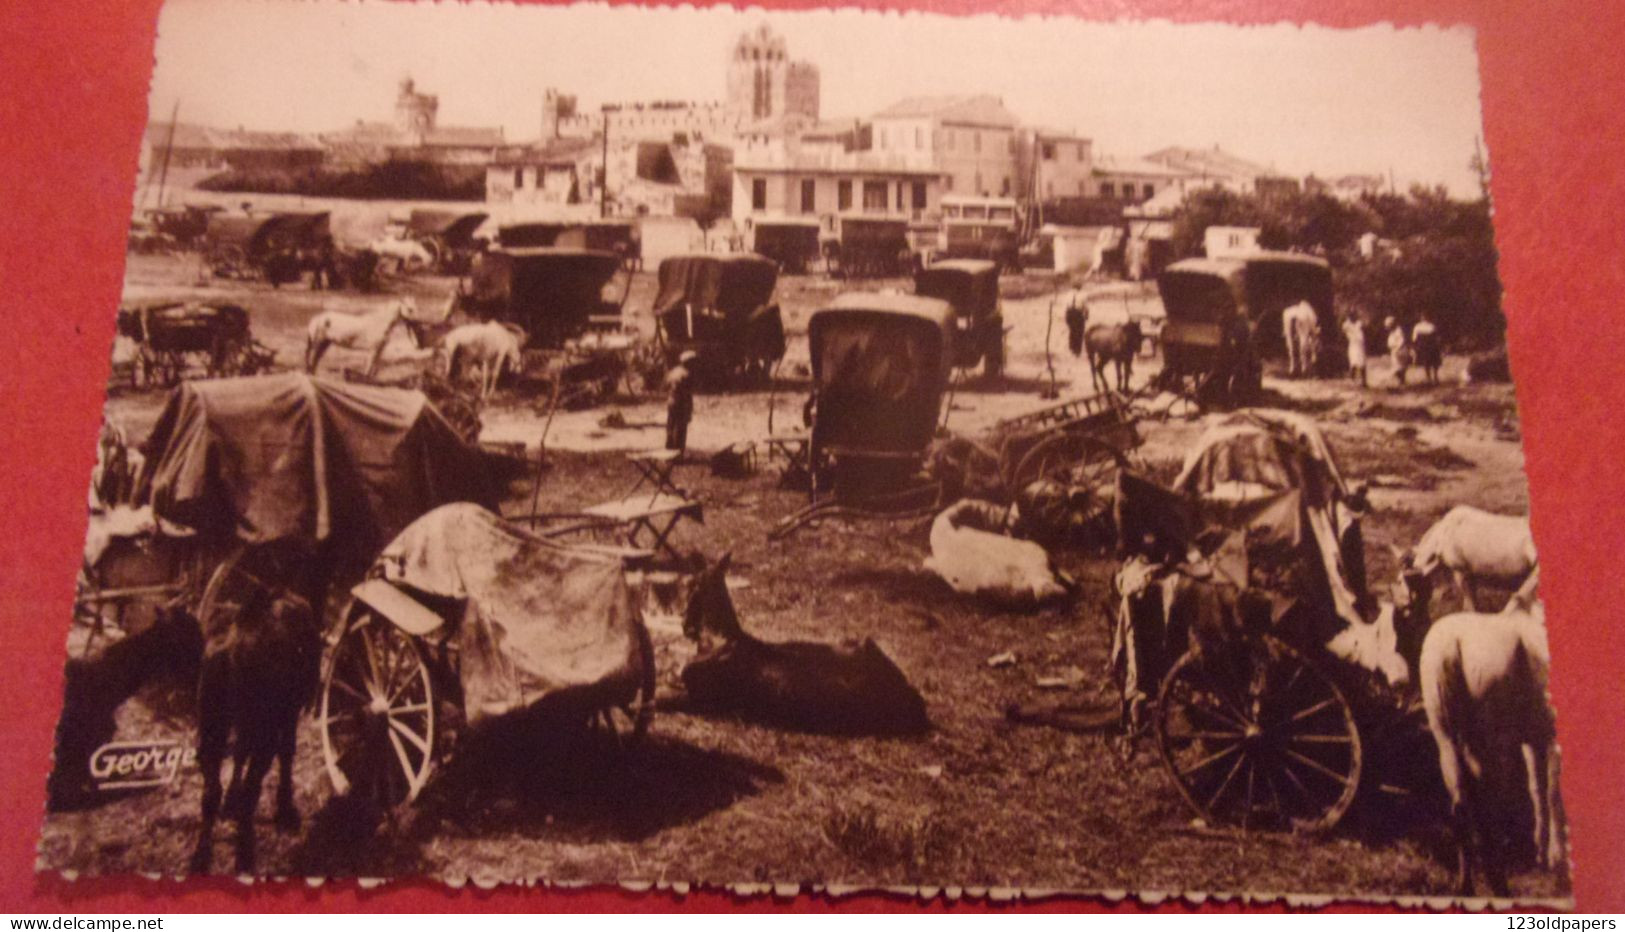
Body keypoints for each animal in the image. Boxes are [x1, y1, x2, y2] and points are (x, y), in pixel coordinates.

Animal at [1397, 506, 1534, 617]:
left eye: (1403, 582)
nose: (1402, 606)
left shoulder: (1461, 570)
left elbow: (1469, 600)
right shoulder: (1470, 572)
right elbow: (1472, 598)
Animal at [1423, 574, 1560, 902]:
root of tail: (1452, 645)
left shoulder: (1533, 740)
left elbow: (1538, 791)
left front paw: (1542, 853)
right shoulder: (1551, 739)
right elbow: (1553, 795)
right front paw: (1556, 861)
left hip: (1447, 742)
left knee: (1461, 806)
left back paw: (1468, 886)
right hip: (1491, 748)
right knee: (1489, 808)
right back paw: (1499, 884)